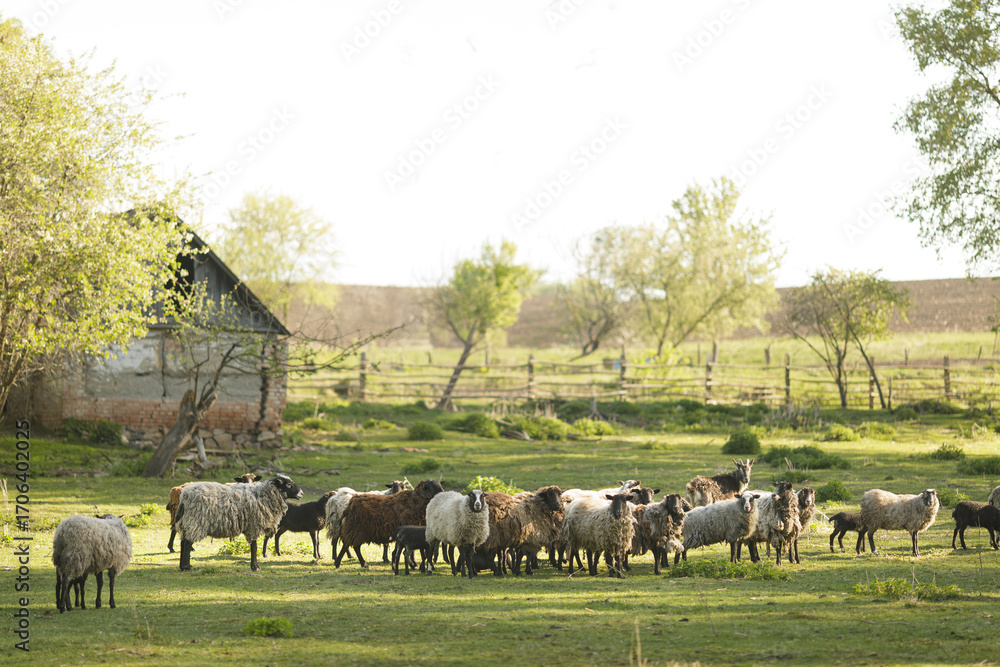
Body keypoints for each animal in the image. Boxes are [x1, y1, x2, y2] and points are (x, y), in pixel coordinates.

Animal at [175, 474, 303, 571]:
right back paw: (187, 567)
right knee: (187, 543)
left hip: (185, 521)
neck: (264, 495)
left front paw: (254, 566)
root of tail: (184, 496)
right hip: (195, 521)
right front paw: (255, 567)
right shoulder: (253, 525)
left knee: (183, 542)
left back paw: (182, 566)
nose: (301, 493)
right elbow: (254, 546)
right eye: (288, 484)